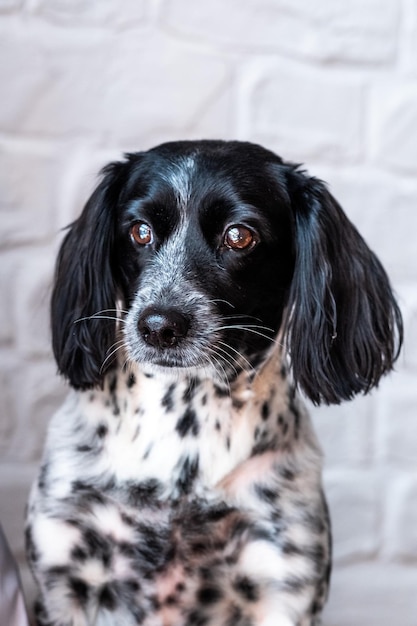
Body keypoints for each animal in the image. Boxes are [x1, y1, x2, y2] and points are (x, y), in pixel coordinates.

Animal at [25, 141, 400, 624]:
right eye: (140, 231)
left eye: (239, 235)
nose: (159, 326)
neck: (184, 425)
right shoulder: (62, 576)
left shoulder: (285, 582)